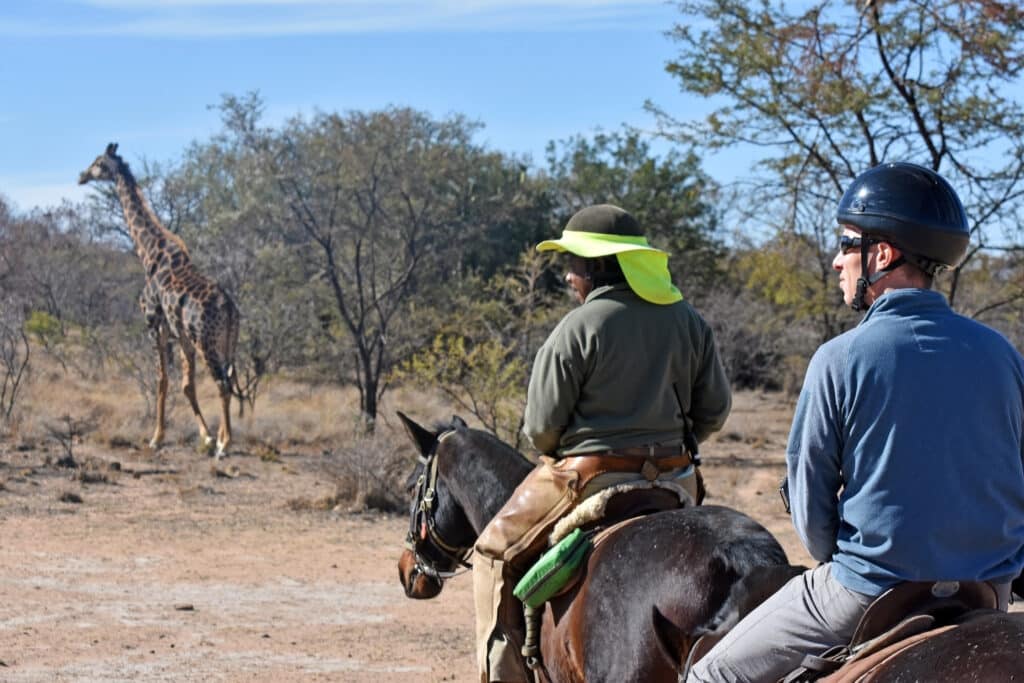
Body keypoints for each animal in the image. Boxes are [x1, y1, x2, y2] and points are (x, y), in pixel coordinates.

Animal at [79, 143, 239, 458]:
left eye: (97, 162)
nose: (82, 176)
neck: (149, 252)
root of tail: (229, 308)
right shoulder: (182, 337)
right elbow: (187, 385)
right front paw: (206, 436)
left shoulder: (154, 324)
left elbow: (162, 380)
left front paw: (157, 437)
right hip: (227, 343)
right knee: (229, 379)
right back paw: (223, 439)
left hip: (206, 342)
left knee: (222, 383)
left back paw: (225, 446)